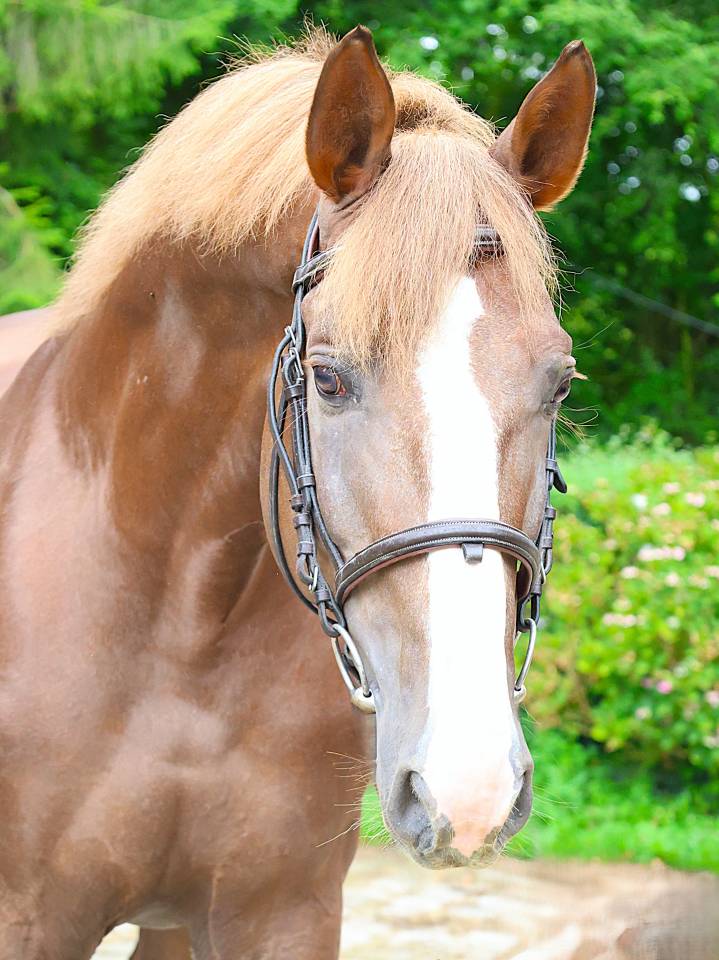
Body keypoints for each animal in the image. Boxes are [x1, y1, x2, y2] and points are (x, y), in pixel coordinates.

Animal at [0, 26, 595, 960]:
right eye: (328, 379)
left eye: (560, 384)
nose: (467, 788)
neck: (180, 629)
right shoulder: (26, 918)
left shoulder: (282, 913)